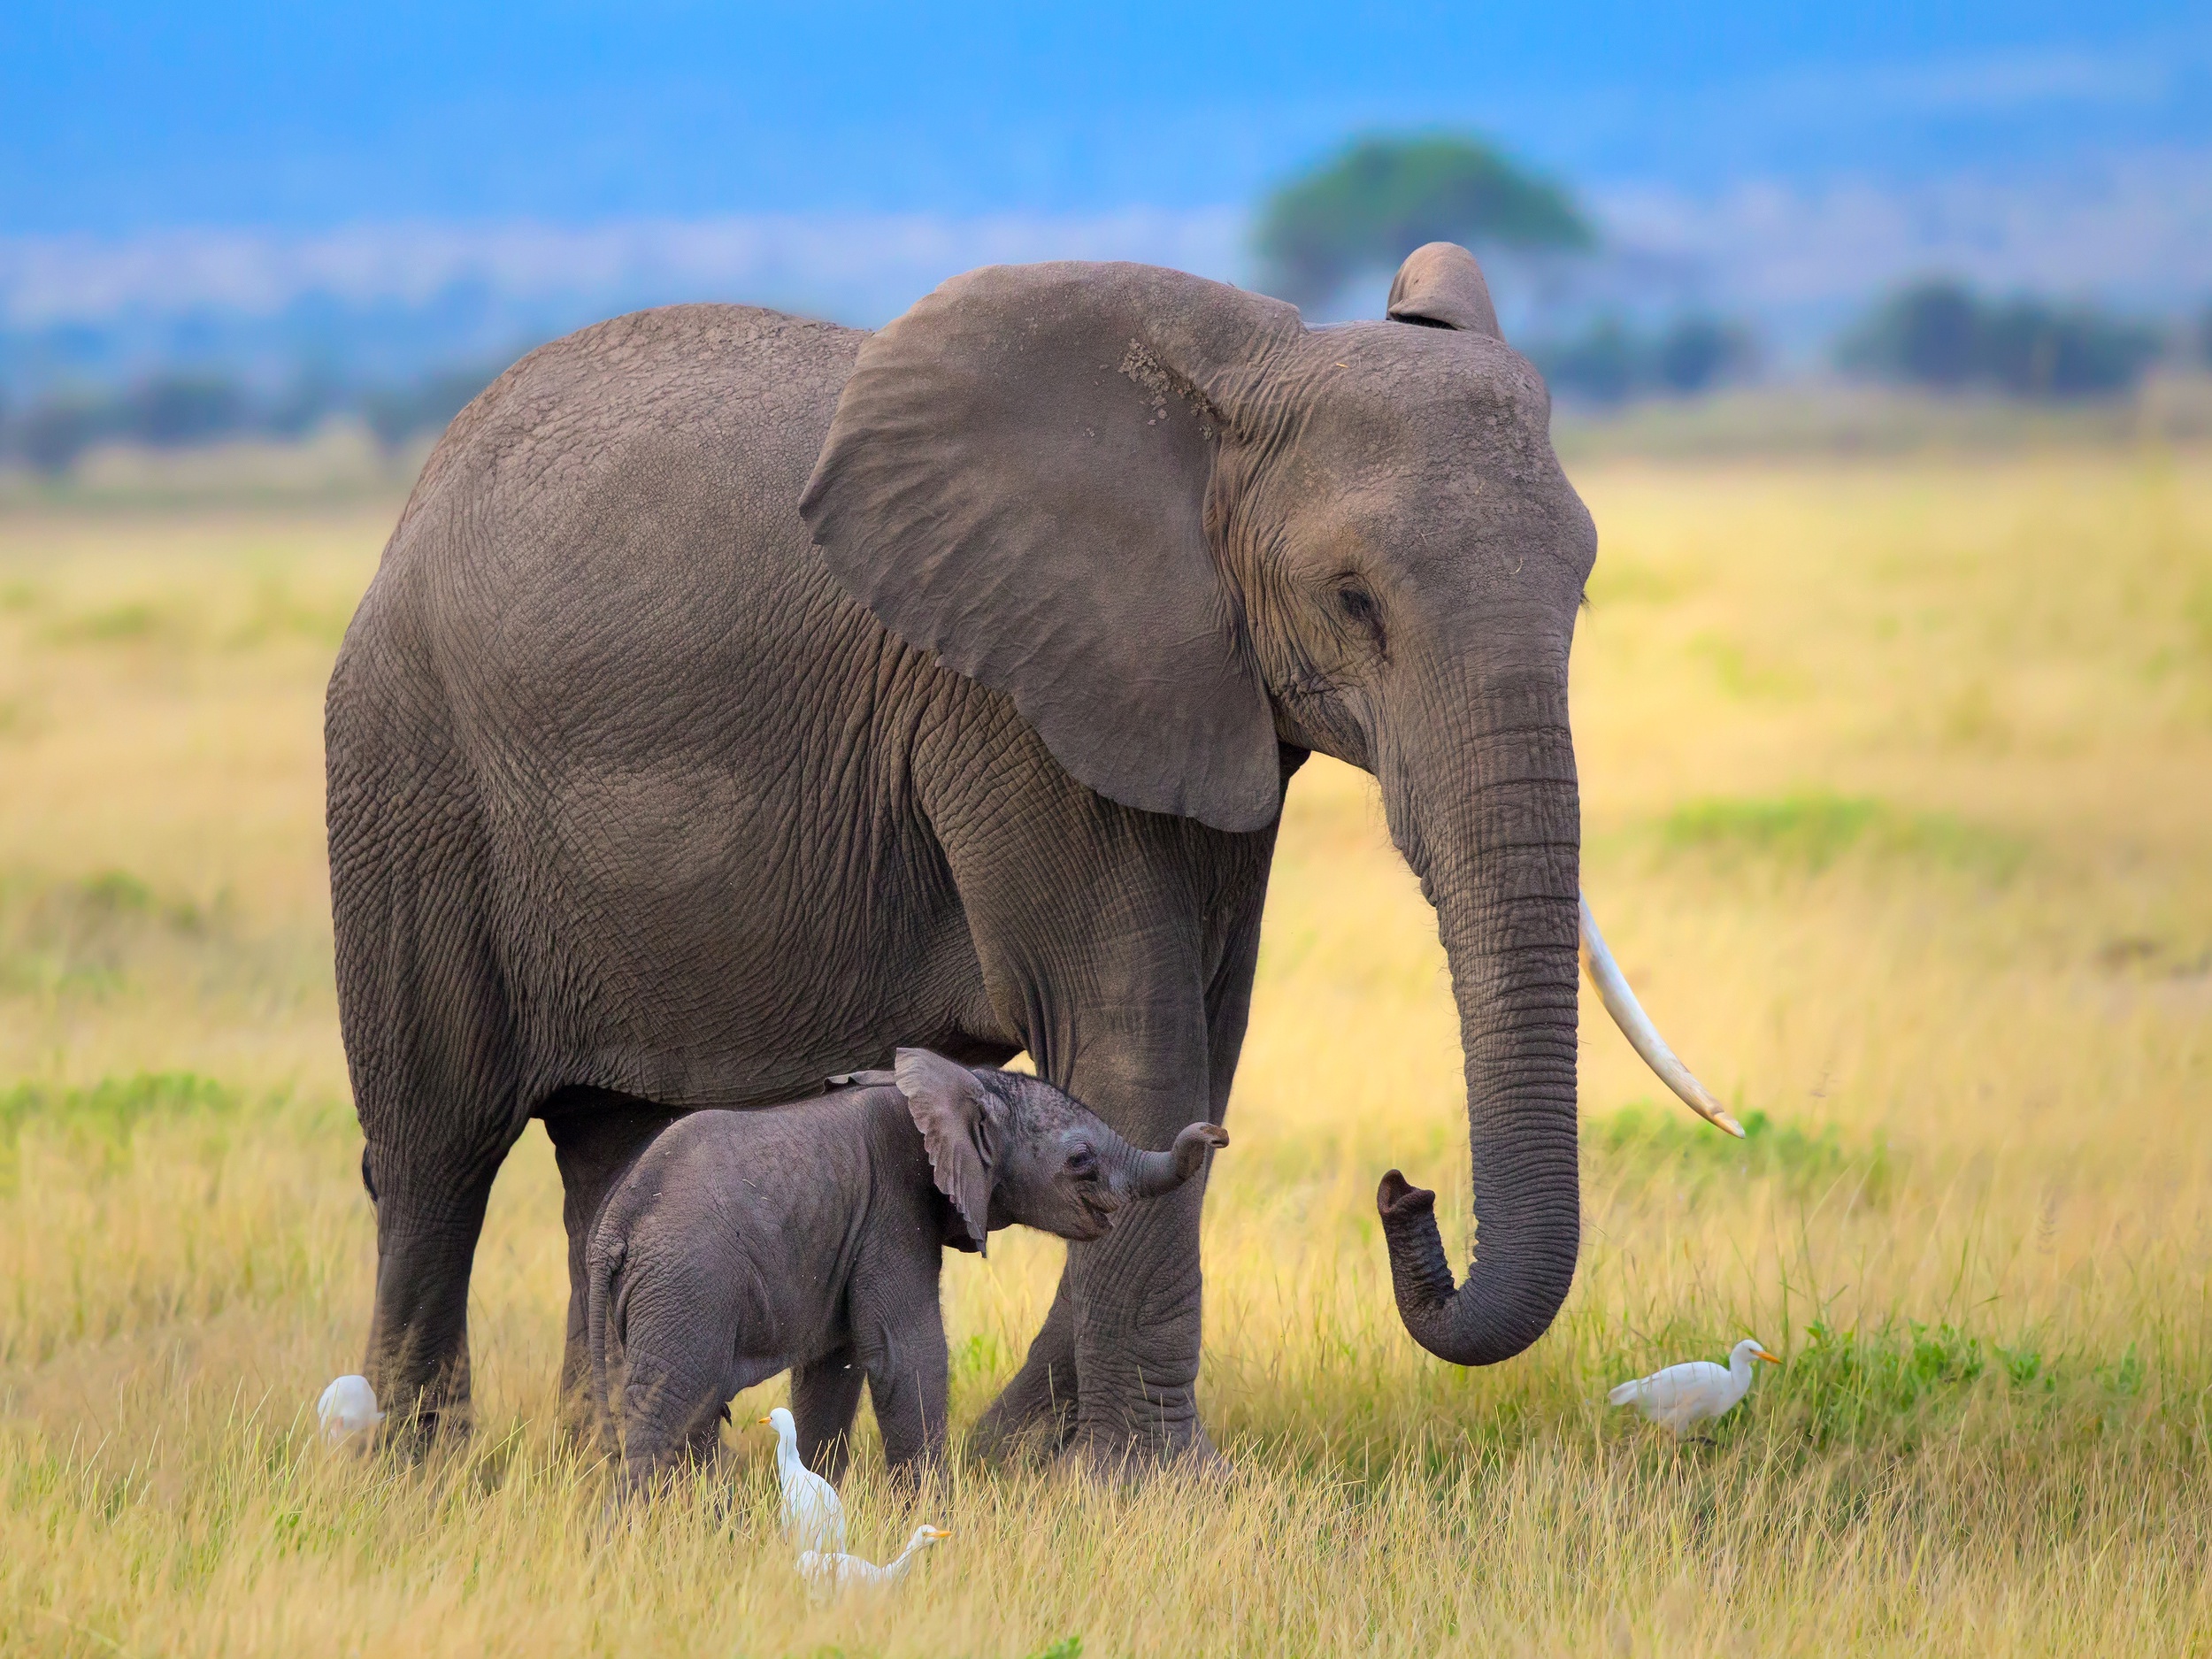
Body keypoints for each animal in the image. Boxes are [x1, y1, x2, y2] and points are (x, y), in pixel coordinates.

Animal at [588, 1053, 1230, 1495]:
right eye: (1079, 1160)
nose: (1214, 1133)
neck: (961, 1085)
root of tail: (613, 1226)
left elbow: (834, 1369)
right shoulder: (892, 1207)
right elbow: (906, 1353)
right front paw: (934, 1520)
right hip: (686, 1284)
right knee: (668, 1409)